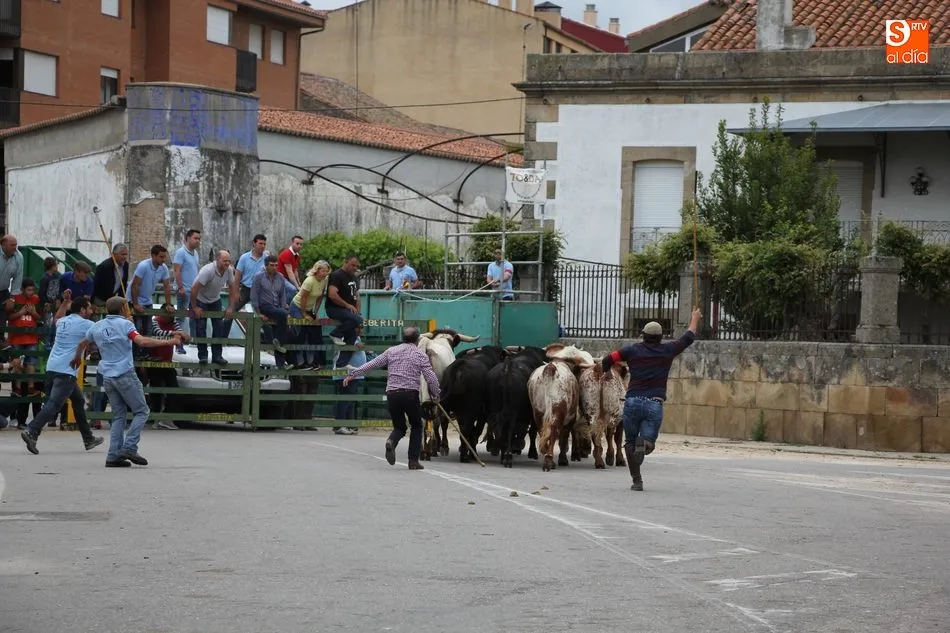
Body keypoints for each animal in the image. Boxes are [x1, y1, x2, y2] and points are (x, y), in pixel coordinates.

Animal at [417, 329, 479, 458]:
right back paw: (431, 448)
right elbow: (442, 421)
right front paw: (442, 446)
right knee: (436, 419)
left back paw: (423, 450)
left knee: (423, 418)